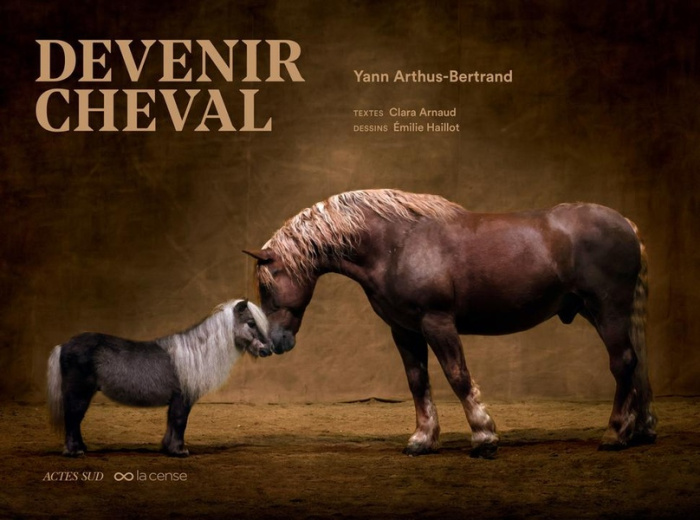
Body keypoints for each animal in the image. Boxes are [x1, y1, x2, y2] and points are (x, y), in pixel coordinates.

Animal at [47, 299, 272, 457]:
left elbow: (172, 423)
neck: (195, 353)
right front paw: (180, 451)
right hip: (79, 394)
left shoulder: (175, 401)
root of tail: (64, 345)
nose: (268, 350)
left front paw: (168, 448)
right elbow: (180, 422)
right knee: (73, 418)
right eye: (251, 323)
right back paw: (74, 451)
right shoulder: (182, 399)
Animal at [244, 188, 657, 458]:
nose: (272, 343)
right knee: (635, 365)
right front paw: (422, 439)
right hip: (599, 312)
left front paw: (484, 437)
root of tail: (627, 225)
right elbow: (418, 382)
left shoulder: (437, 323)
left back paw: (615, 433)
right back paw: (641, 429)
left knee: (623, 364)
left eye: (267, 286)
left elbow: (457, 376)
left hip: (608, 310)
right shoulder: (404, 330)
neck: (397, 243)